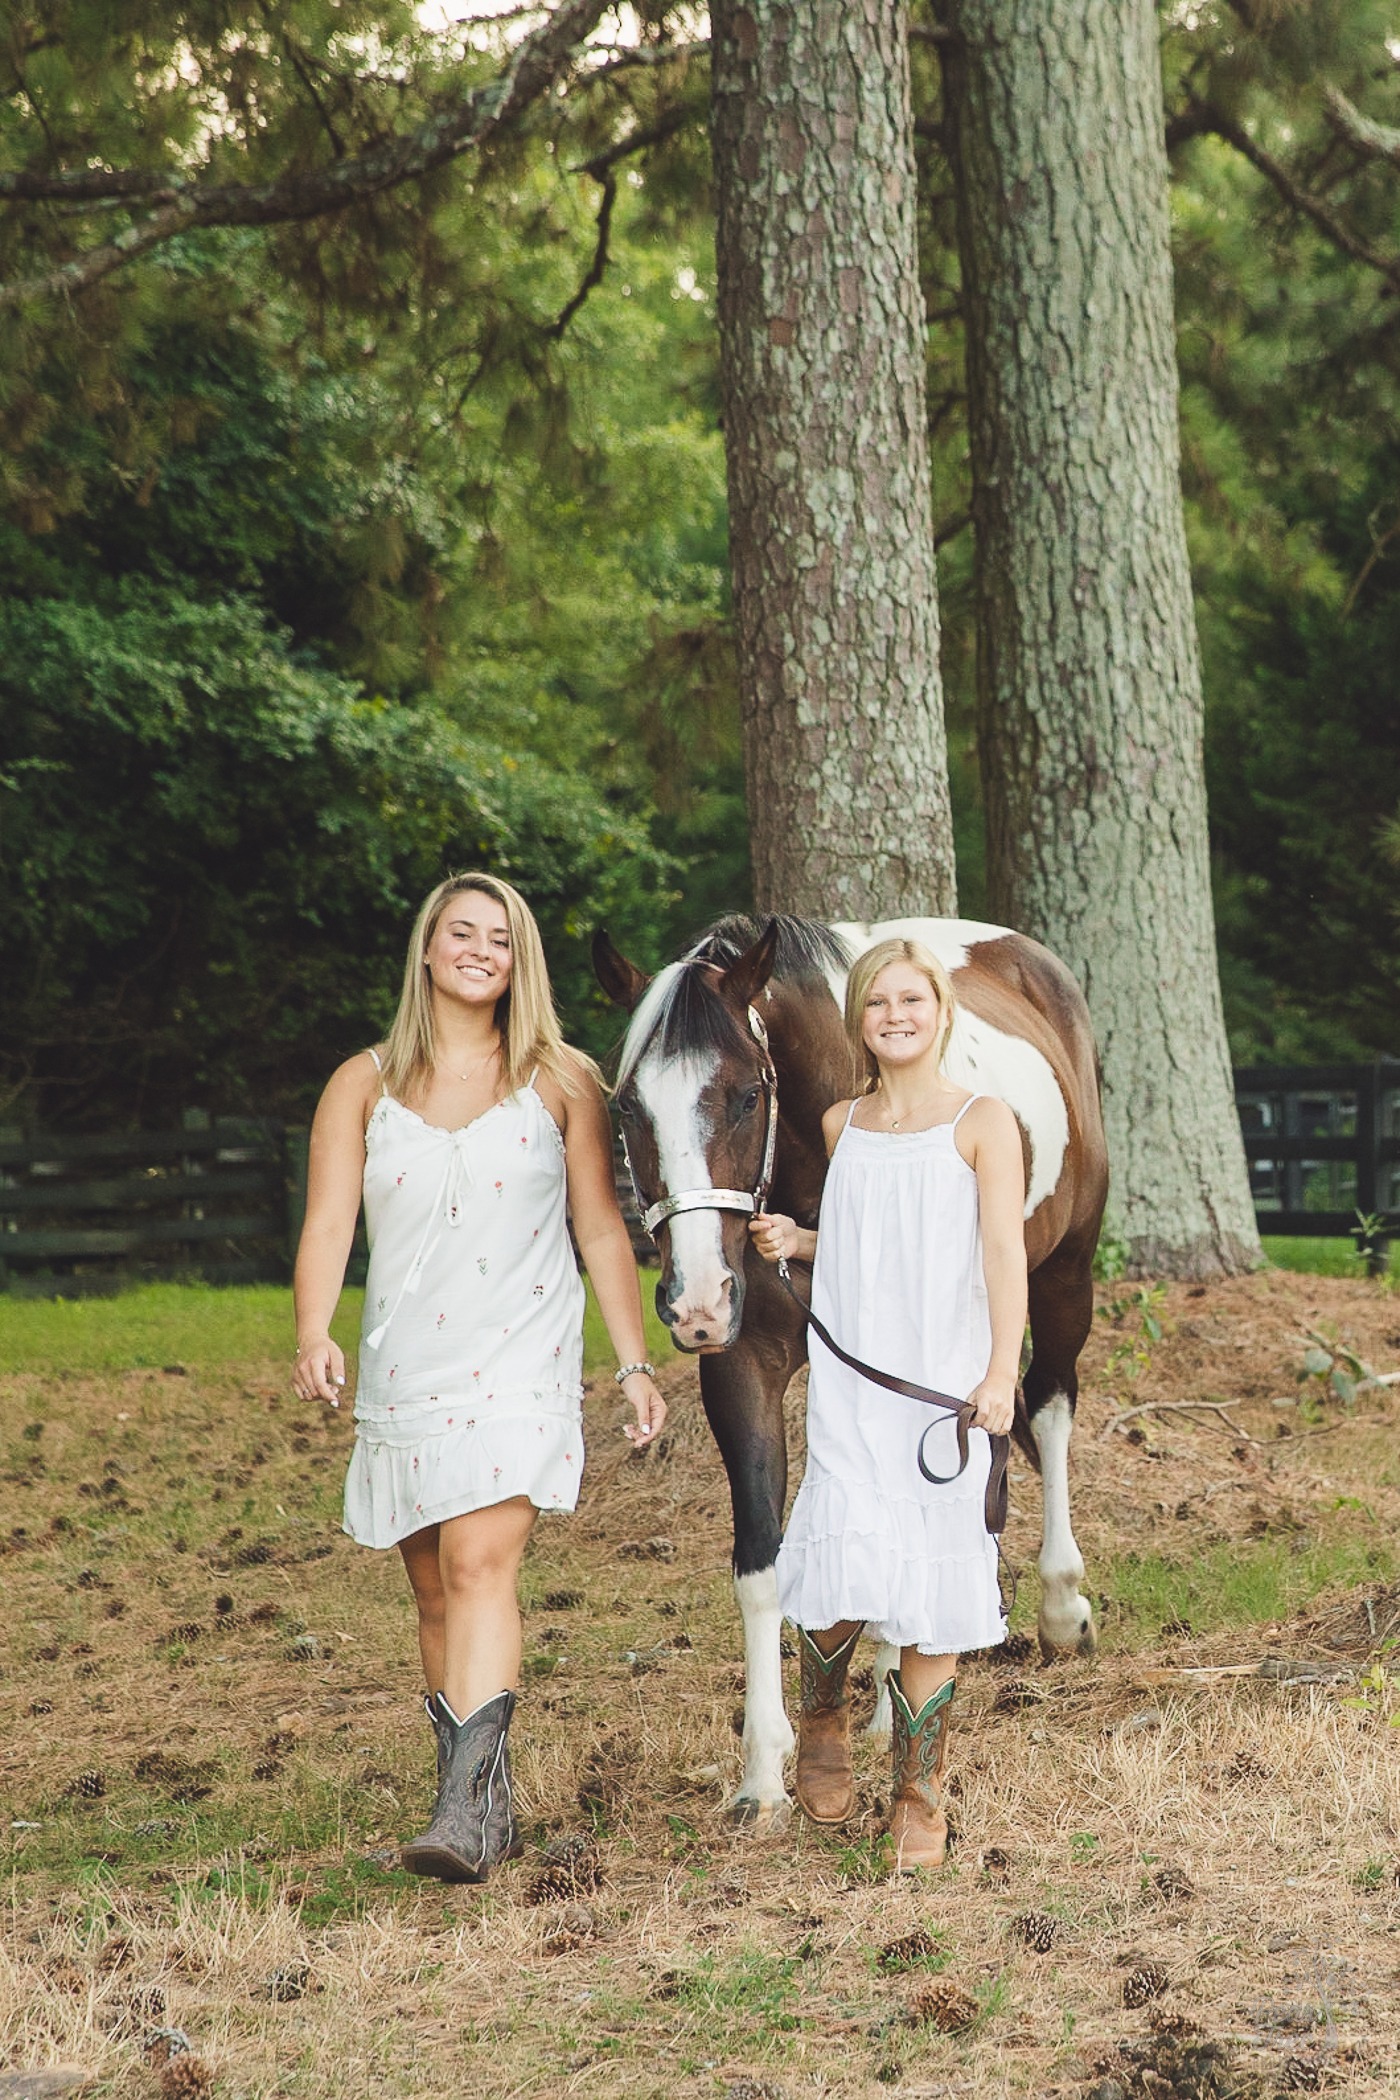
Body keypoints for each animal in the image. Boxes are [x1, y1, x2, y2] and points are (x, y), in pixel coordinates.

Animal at [591, 915, 1108, 1822]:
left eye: (746, 1095)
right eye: (627, 1106)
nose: (696, 1302)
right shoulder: (745, 1366)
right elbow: (761, 1561)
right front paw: (765, 1775)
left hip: (1064, 1272)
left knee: (1048, 1411)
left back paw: (1057, 1608)